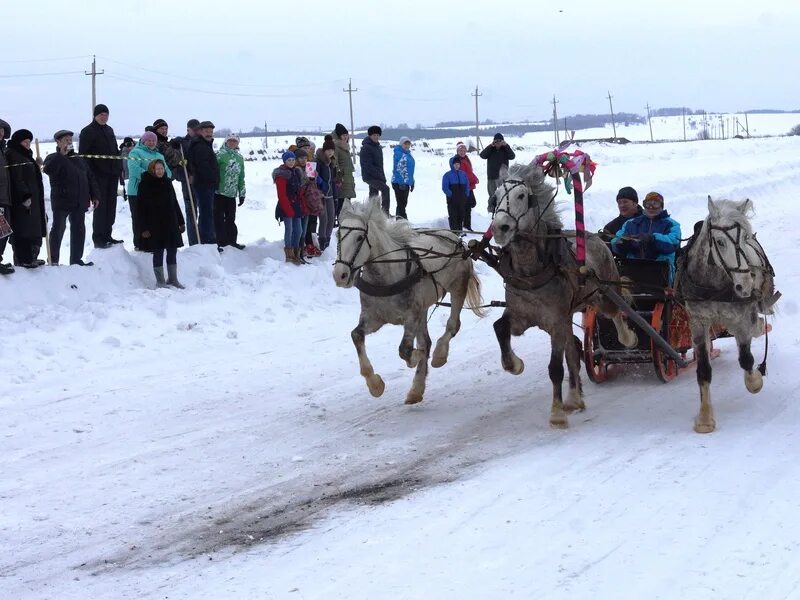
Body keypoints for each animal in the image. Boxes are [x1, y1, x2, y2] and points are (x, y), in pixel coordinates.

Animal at [332, 199, 484, 406]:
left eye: (359, 238)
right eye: (338, 235)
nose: (340, 275)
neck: (386, 276)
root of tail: (455, 238)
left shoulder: (410, 316)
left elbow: (405, 350)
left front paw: (416, 357)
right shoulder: (373, 318)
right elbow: (356, 335)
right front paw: (375, 384)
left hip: (457, 287)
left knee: (452, 325)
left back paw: (439, 355)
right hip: (423, 308)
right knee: (426, 339)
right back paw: (416, 390)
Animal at [490, 163, 636, 426]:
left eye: (521, 196)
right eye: (495, 197)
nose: (500, 227)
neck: (532, 270)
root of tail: (596, 236)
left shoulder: (556, 321)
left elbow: (555, 368)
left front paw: (557, 413)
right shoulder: (520, 315)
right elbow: (500, 327)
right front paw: (514, 364)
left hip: (602, 294)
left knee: (615, 312)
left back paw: (627, 338)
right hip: (568, 316)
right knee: (574, 351)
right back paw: (574, 398)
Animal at [680, 199, 780, 434]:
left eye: (744, 238)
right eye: (719, 241)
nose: (745, 284)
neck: (712, 286)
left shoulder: (740, 319)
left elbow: (746, 360)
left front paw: (755, 381)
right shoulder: (698, 322)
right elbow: (703, 370)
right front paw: (705, 418)